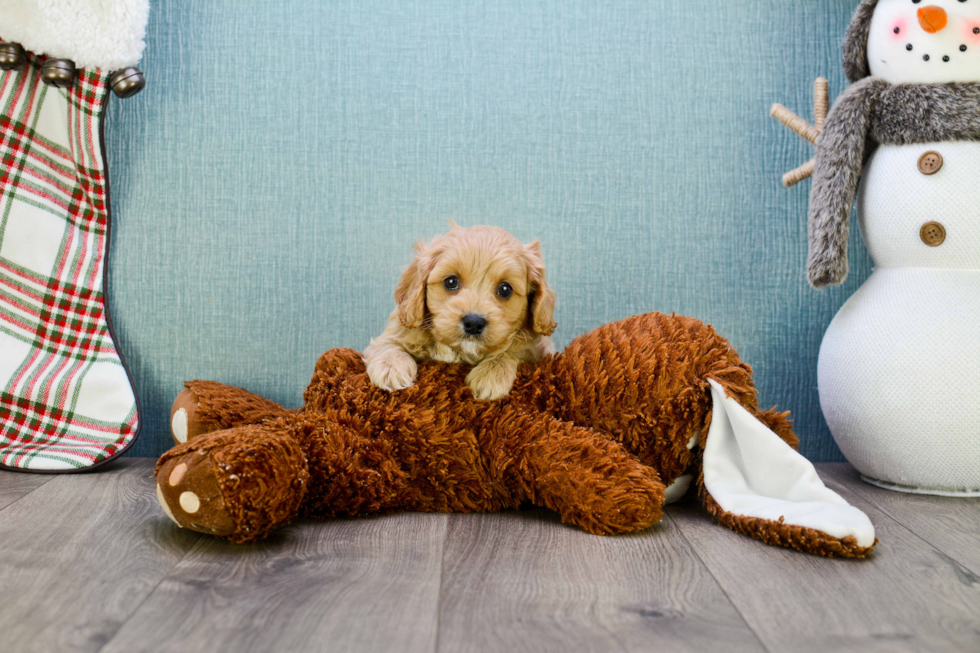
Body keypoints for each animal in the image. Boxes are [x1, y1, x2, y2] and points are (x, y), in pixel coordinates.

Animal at [364, 224, 556, 400]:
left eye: (505, 289)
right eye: (451, 282)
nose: (474, 323)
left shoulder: (536, 351)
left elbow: (511, 352)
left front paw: (490, 377)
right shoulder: (394, 332)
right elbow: (387, 345)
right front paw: (391, 368)